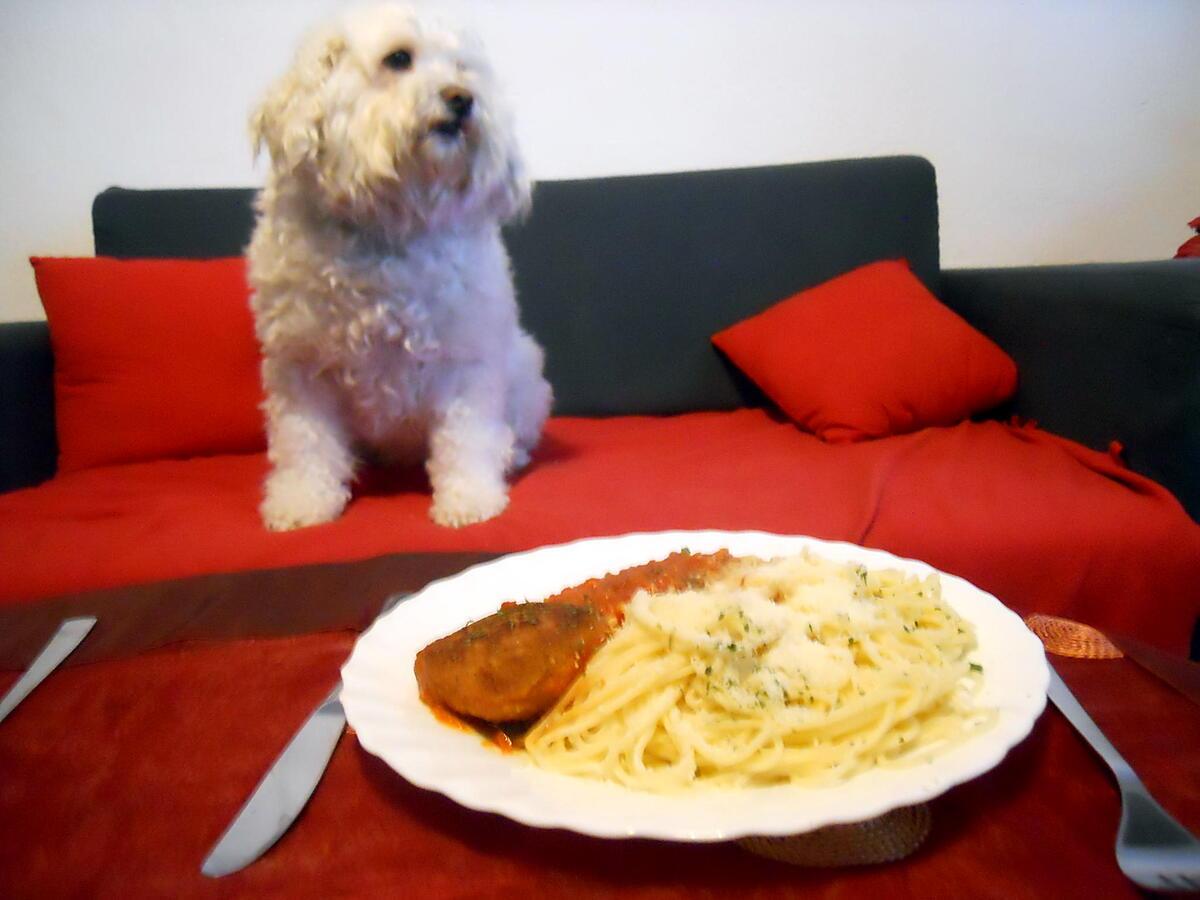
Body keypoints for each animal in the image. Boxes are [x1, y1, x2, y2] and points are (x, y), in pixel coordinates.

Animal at [244, 1, 552, 528]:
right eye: (398, 58)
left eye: (462, 69)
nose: (462, 99)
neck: (391, 224)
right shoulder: (299, 366)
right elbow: (306, 442)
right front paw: (303, 502)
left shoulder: (466, 358)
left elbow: (466, 437)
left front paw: (469, 499)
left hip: (524, 369)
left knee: (510, 431)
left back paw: (510, 454)